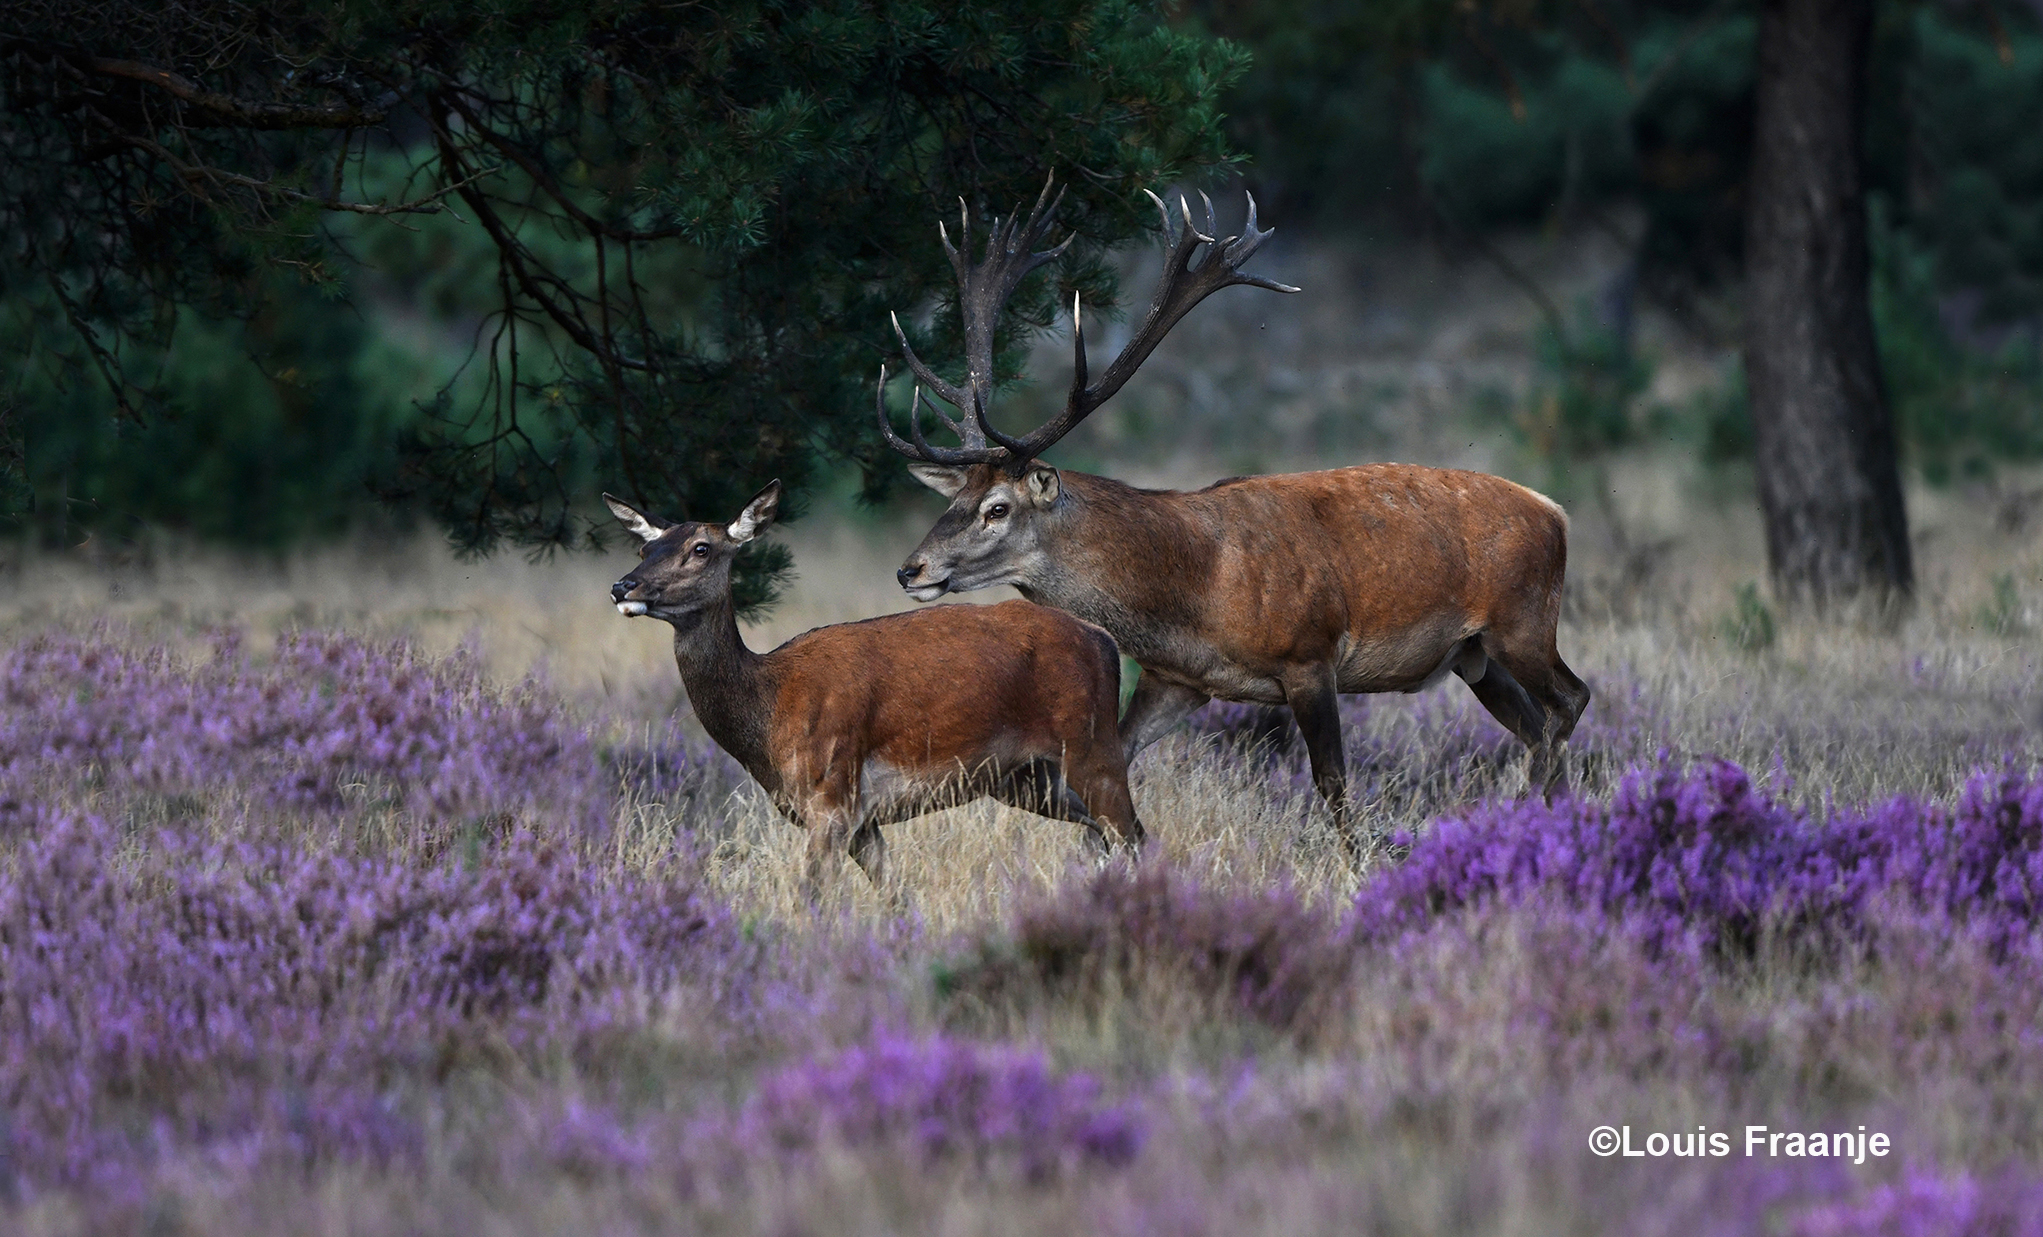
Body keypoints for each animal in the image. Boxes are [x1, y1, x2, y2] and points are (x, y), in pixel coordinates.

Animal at [604, 478, 1152, 891]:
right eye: (644, 546)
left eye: (701, 548)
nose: (622, 586)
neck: (769, 717)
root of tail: (1104, 641)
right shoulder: (861, 820)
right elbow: (894, 893)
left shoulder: (831, 793)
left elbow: (813, 897)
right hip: (1028, 778)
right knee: (1123, 834)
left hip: (1091, 745)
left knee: (1130, 833)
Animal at [874, 180, 1577, 858]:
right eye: (950, 501)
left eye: (998, 507)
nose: (911, 570)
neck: (1197, 592)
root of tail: (1554, 511)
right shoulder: (1177, 679)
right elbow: (1112, 772)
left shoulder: (1309, 654)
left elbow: (1332, 782)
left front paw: (1362, 863)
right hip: (1473, 655)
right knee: (1536, 722)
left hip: (1523, 622)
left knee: (1569, 703)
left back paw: (1524, 814)